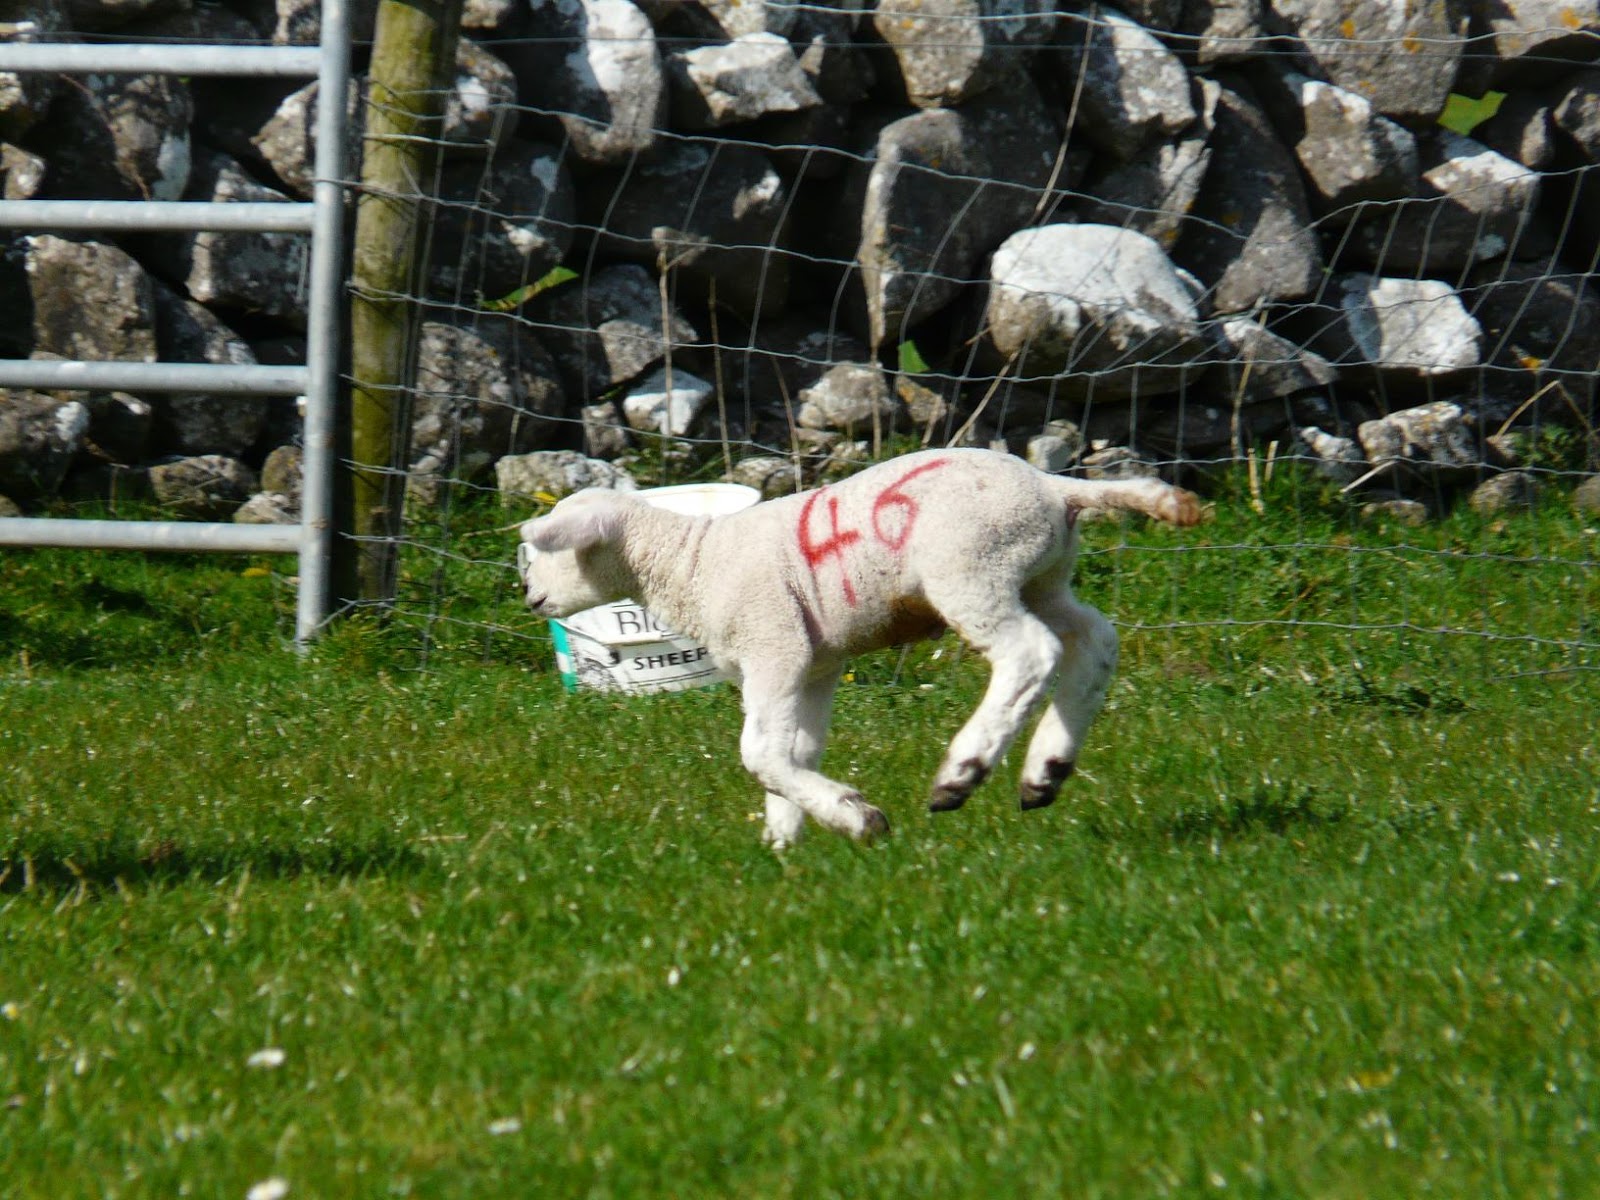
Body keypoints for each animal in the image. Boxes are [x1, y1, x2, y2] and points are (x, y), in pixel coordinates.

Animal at [518, 447, 1202, 849]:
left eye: (551, 548)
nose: (528, 596)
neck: (691, 563)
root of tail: (1054, 488)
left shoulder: (774, 645)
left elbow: (759, 753)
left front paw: (854, 818)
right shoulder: (815, 664)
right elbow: (796, 750)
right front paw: (785, 842)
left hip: (971, 567)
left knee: (1029, 654)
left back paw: (963, 773)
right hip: (1041, 576)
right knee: (1095, 640)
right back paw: (1046, 770)